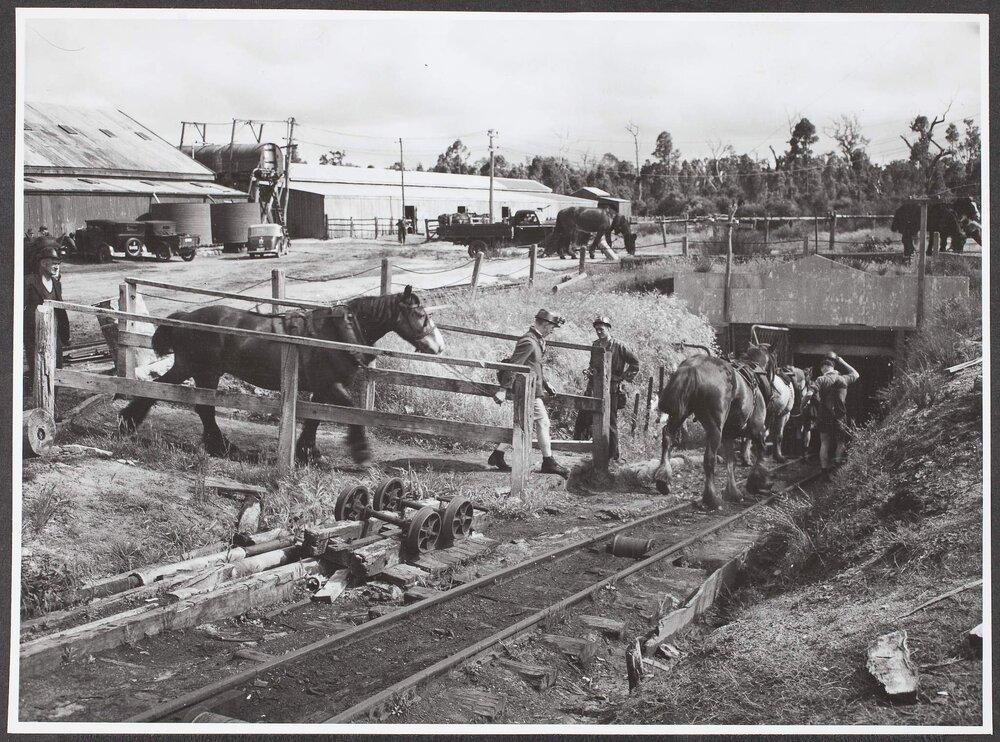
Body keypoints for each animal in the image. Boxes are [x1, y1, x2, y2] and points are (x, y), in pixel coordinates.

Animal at [118, 288, 446, 468]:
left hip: (196, 370)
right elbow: (351, 412)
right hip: (200, 370)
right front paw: (360, 452)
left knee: (185, 399)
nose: (439, 346)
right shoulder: (331, 385)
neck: (334, 334)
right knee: (195, 404)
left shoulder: (322, 387)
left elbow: (314, 419)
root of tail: (185, 318)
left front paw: (308, 452)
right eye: (420, 315)